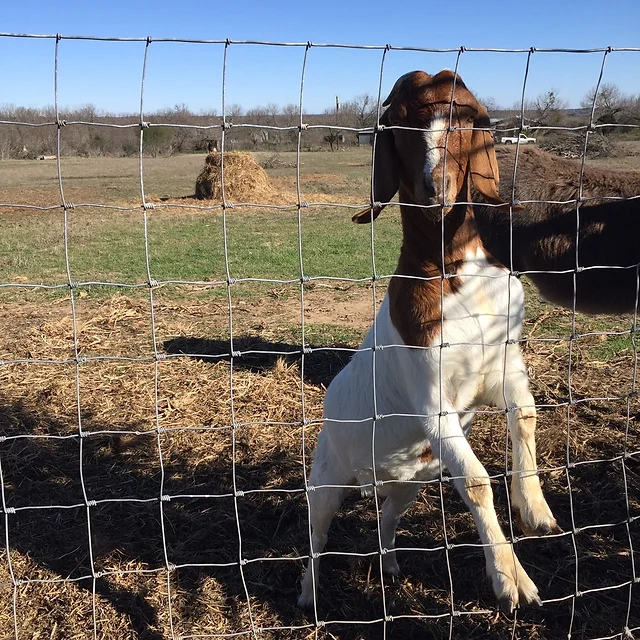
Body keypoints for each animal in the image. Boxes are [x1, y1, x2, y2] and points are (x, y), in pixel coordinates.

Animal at [298, 71, 556, 616]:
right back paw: (308, 596)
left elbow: (525, 416)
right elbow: (476, 481)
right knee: (315, 536)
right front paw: (511, 580)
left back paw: (390, 565)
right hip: (327, 476)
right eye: (398, 122)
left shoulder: (502, 367)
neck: (454, 274)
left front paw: (535, 510)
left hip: (409, 485)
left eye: (466, 117)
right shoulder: (434, 400)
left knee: (386, 517)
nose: (435, 190)